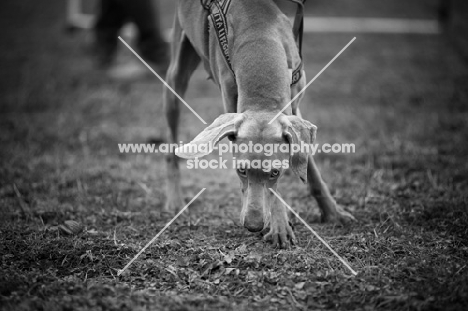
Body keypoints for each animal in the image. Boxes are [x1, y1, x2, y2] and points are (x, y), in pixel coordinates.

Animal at [163, 0, 352, 249]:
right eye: (241, 170)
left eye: (275, 172)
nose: (253, 226)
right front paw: (280, 226)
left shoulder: (294, 106)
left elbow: (310, 169)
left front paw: (333, 213)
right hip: (175, 78)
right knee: (171, 145)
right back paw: (175, 201)